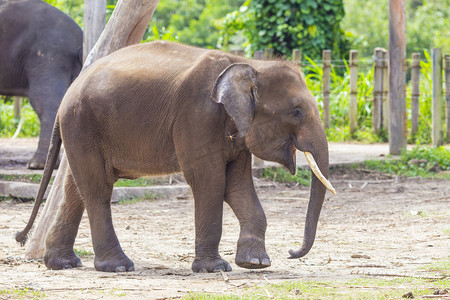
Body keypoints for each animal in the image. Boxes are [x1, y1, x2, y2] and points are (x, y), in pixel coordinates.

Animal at [16, 41, 334, 274]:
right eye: (296, 112)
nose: (292, 252)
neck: (248, 65)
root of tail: (65, 97)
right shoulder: (197, 116)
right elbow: (209, 182)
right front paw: (215, 269)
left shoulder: (237, 131)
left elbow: (238, 186)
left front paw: (256, 263)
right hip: (83, 124)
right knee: (97, 189)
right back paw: (118, 267)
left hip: (82, 130)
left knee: (76, 188)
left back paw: (63, 264)